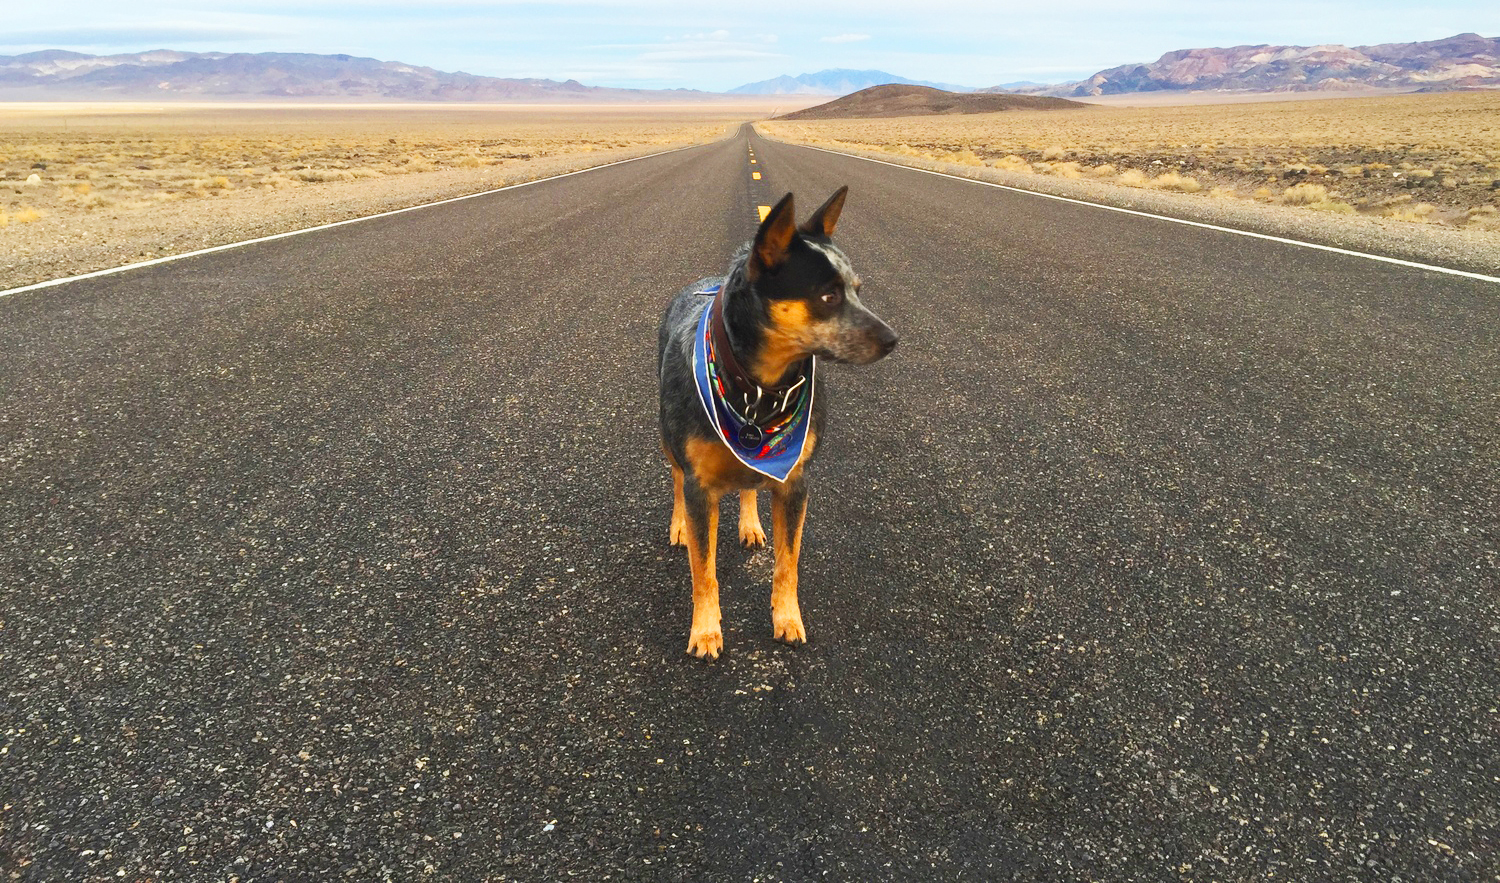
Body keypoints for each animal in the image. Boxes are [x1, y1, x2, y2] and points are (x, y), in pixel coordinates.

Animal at [654, 185, 888, 656]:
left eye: (858, 290)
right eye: (828, 296)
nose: (893, 340)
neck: (760, 391)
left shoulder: (795, 481)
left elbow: (788, 563)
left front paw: (787, 618)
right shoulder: (698, 485)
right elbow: (703, 570)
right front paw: (705, 630)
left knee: (749, 483)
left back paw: (750, 523)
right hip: (668, 439)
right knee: (674, 479)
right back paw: (680, 525)